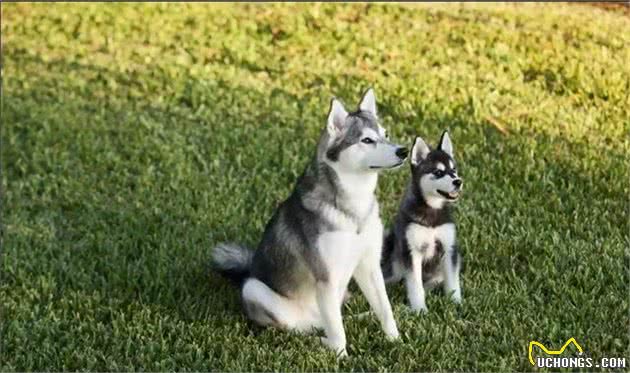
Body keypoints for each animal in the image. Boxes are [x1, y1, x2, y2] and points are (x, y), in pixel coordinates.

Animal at [212, 88, 410, 356]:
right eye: (367, 140)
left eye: (385, 134)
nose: (403, 151)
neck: (353, 205)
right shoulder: (325, 277)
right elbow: (338, 333)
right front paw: (341, 356)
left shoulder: (369, 265)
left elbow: (385, 309)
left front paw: (395, 341)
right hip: (255, 289)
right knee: (303, 327)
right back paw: (318, 341)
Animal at [380, 131, 464, 310]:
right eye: (438, 172)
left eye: (453, 170)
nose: (458, 181)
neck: (431, 210)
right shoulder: (412, 251)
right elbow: (415, 285)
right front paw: (419, 309)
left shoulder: (449, 248)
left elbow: (453, 282)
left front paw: (456, 303)